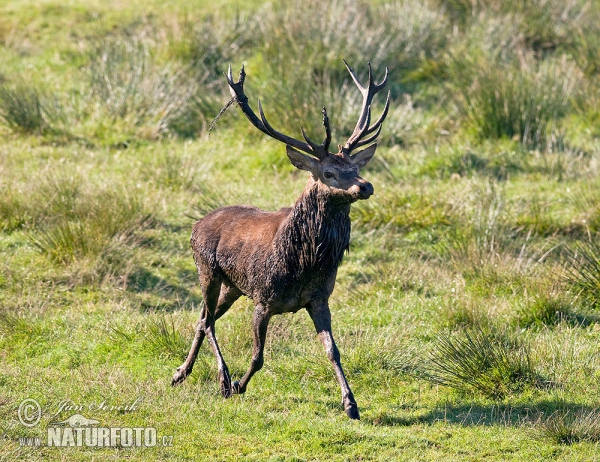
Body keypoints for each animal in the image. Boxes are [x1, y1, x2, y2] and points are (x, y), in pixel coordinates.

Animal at [171, 60, 392, 418]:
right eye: (329, 172)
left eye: (354, 167)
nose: (365, 185)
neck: (303, 263)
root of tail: (197, 224)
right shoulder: (263, 300)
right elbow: (259, 356)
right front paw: (239, 385)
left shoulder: (319, 299)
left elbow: (333, 351)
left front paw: (351, 404)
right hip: (207, 270)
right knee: (208, 321)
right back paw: (222, 379)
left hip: (233, 286)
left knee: (203, 318)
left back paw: (180, 373)